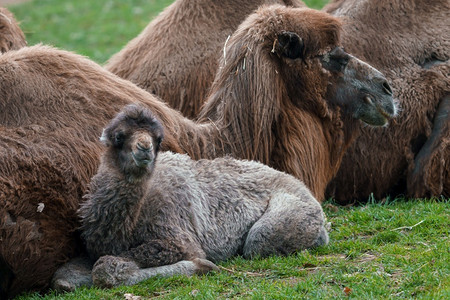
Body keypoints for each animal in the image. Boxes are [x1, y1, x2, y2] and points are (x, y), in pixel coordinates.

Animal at [52, 104, 328, 290]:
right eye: (119, 136)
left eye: (158, 139)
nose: (145, 148)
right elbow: (63, 278)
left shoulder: (177, 237)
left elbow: (105, 267)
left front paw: (202, 267)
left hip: (283, 222)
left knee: (258, 242)